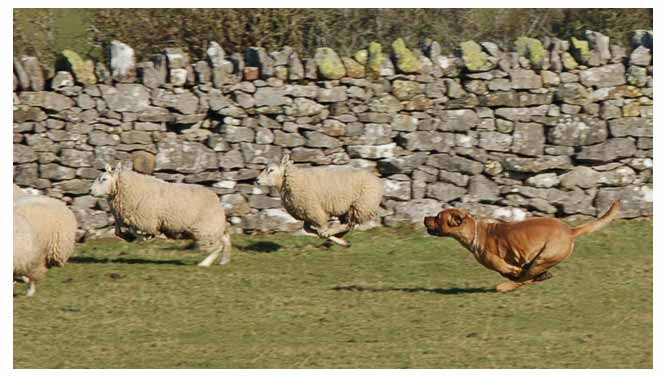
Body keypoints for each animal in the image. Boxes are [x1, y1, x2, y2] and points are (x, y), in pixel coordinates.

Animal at [89, 163, 231, 266]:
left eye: (104, 179)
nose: (90, 191)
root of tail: (216, 200)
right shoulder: (126, 217)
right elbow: (118, 231)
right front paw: (130, 237)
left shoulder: (145, 220)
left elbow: (135, 231)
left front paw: (142, 238)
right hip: (212, 228)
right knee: (225, 240)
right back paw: (224, 261)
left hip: (205, 229)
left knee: (217, 246)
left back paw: (204, 264)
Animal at [422, 201, 620, 292]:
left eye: (438, 217)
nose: (425, 217)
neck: (475, 231)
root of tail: (570, 231)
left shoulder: (501, 263)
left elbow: (513, 271)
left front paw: (514, 274)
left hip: (543, 257)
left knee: (525, 278)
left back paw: (507, 286)